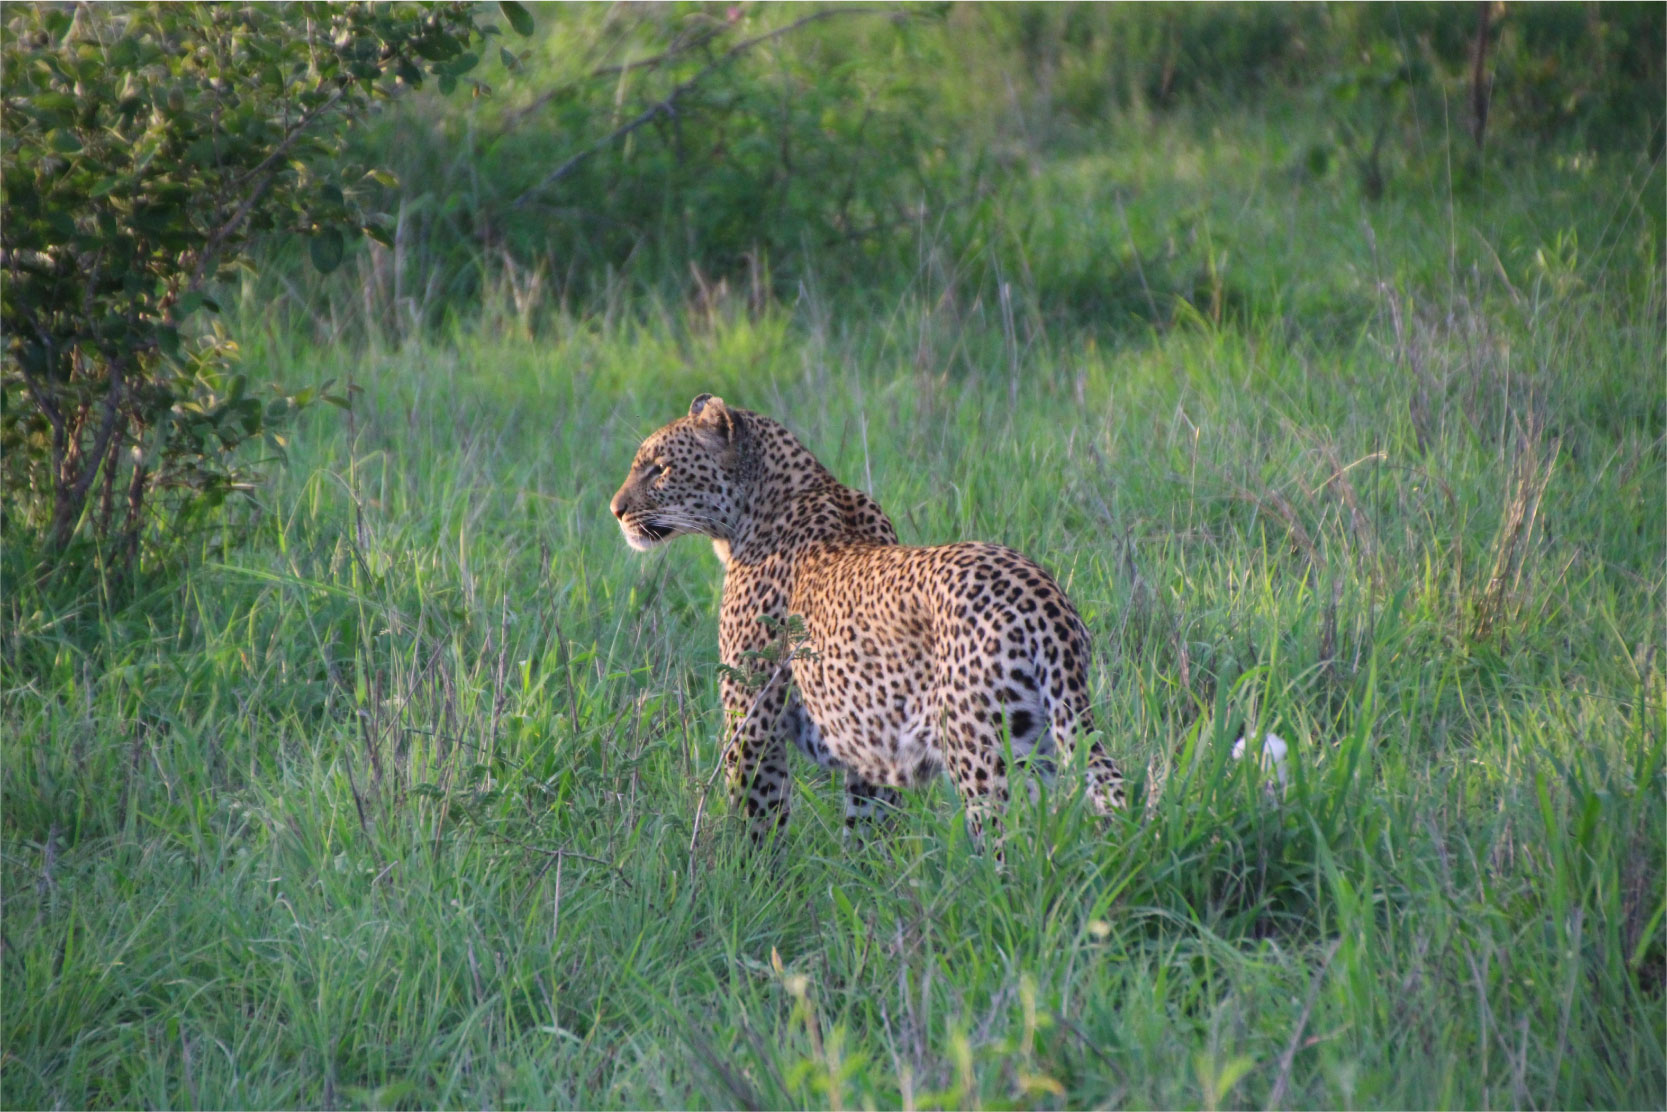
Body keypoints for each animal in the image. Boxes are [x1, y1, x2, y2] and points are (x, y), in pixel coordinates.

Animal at [606, 395, 1126, 846]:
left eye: (660, 468)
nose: (616, 510)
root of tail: (1041, 596)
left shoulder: (752, 719)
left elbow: (759, 821)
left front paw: (750, 884)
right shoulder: (873, 747)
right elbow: (866, 831)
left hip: (982, 755)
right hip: (1038, 742)